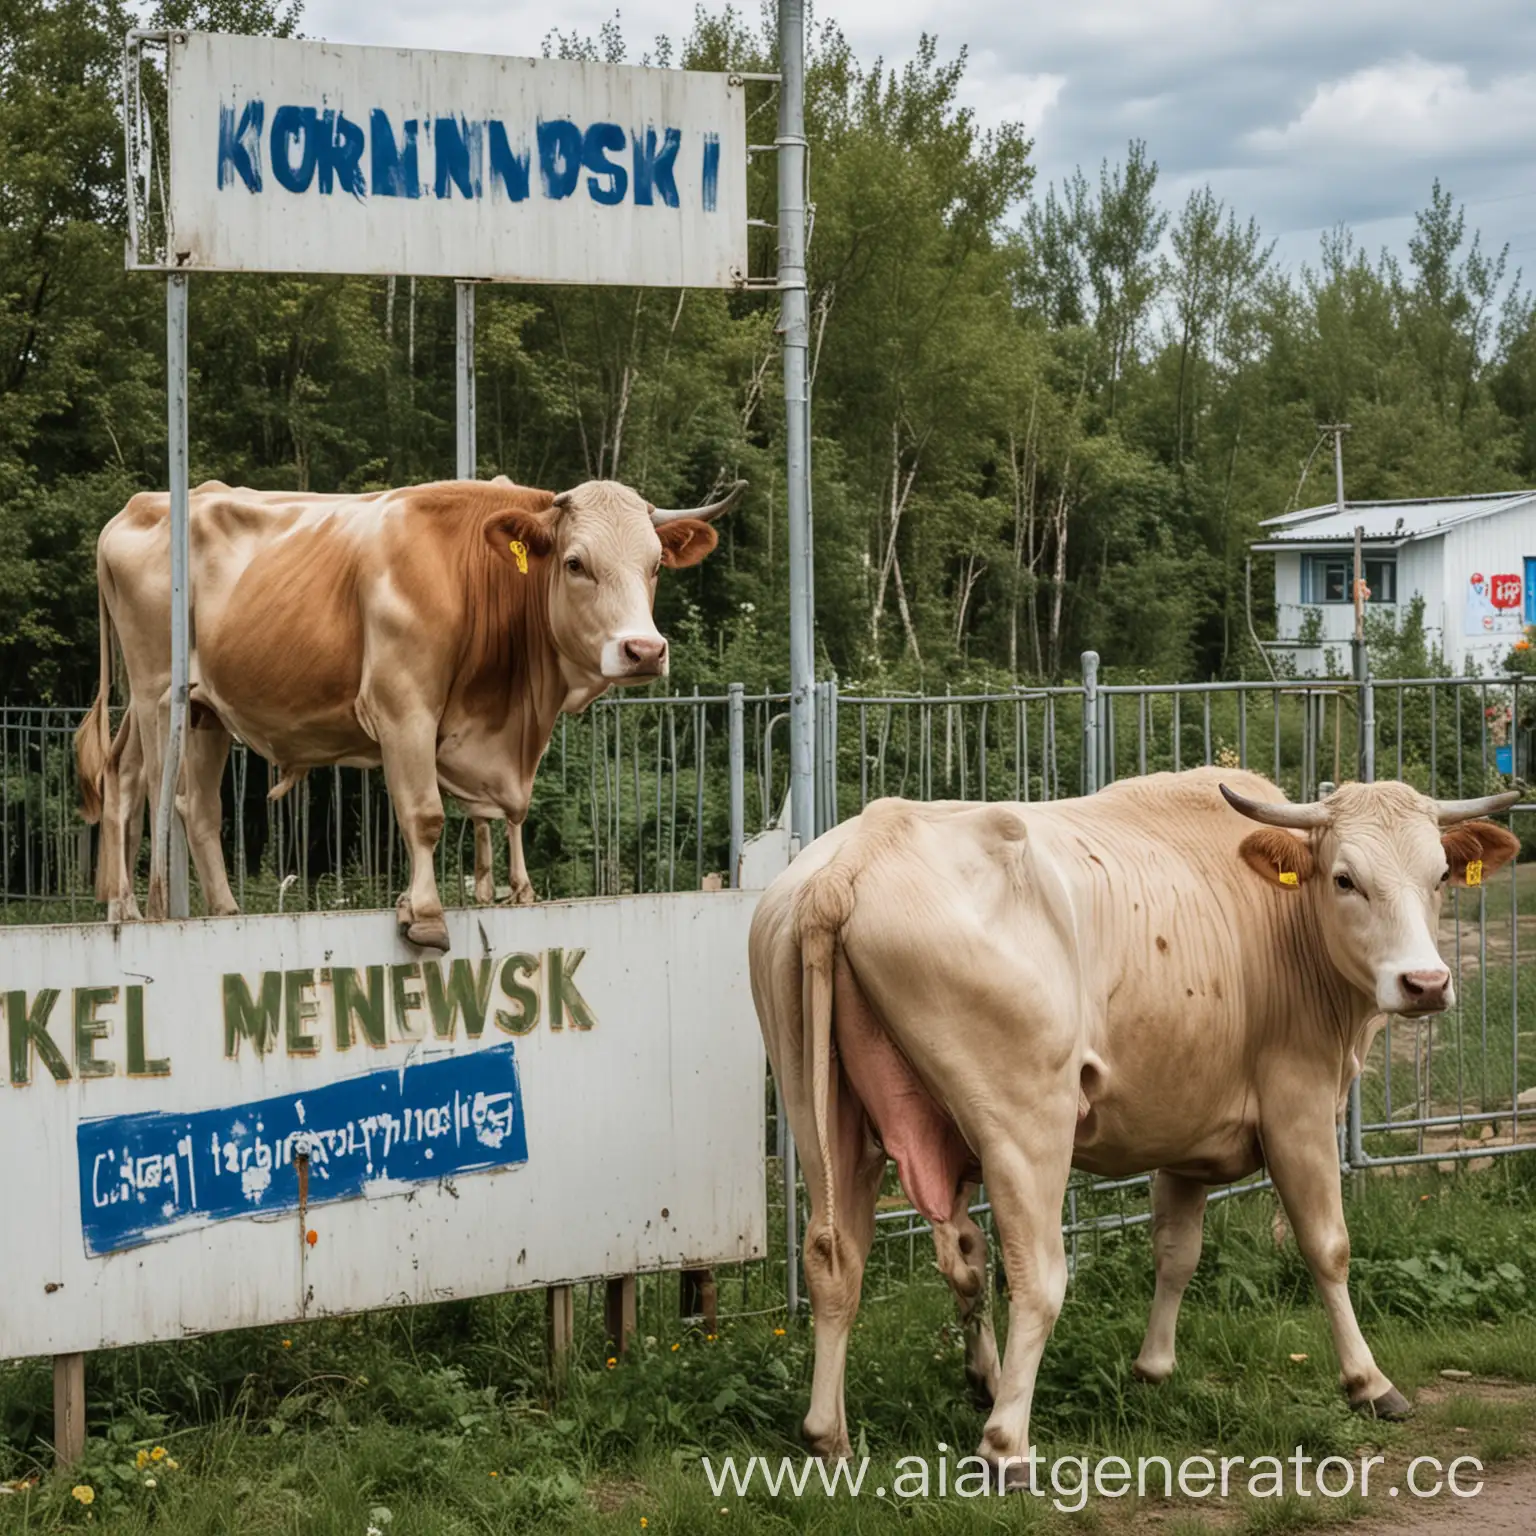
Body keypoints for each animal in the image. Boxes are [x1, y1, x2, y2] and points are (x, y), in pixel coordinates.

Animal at [76, 473, 737, 946]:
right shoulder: (404, 707)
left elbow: (507, 816)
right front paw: (424, 913)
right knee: (144, 789)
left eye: (655, 565)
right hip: (156, 690)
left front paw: (515, 891)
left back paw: (217, 910)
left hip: (201, 708)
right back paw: (135, 910)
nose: (643, 650)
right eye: (575, 563)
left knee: (184, 802)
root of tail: (140, 506)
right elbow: (425, 815)